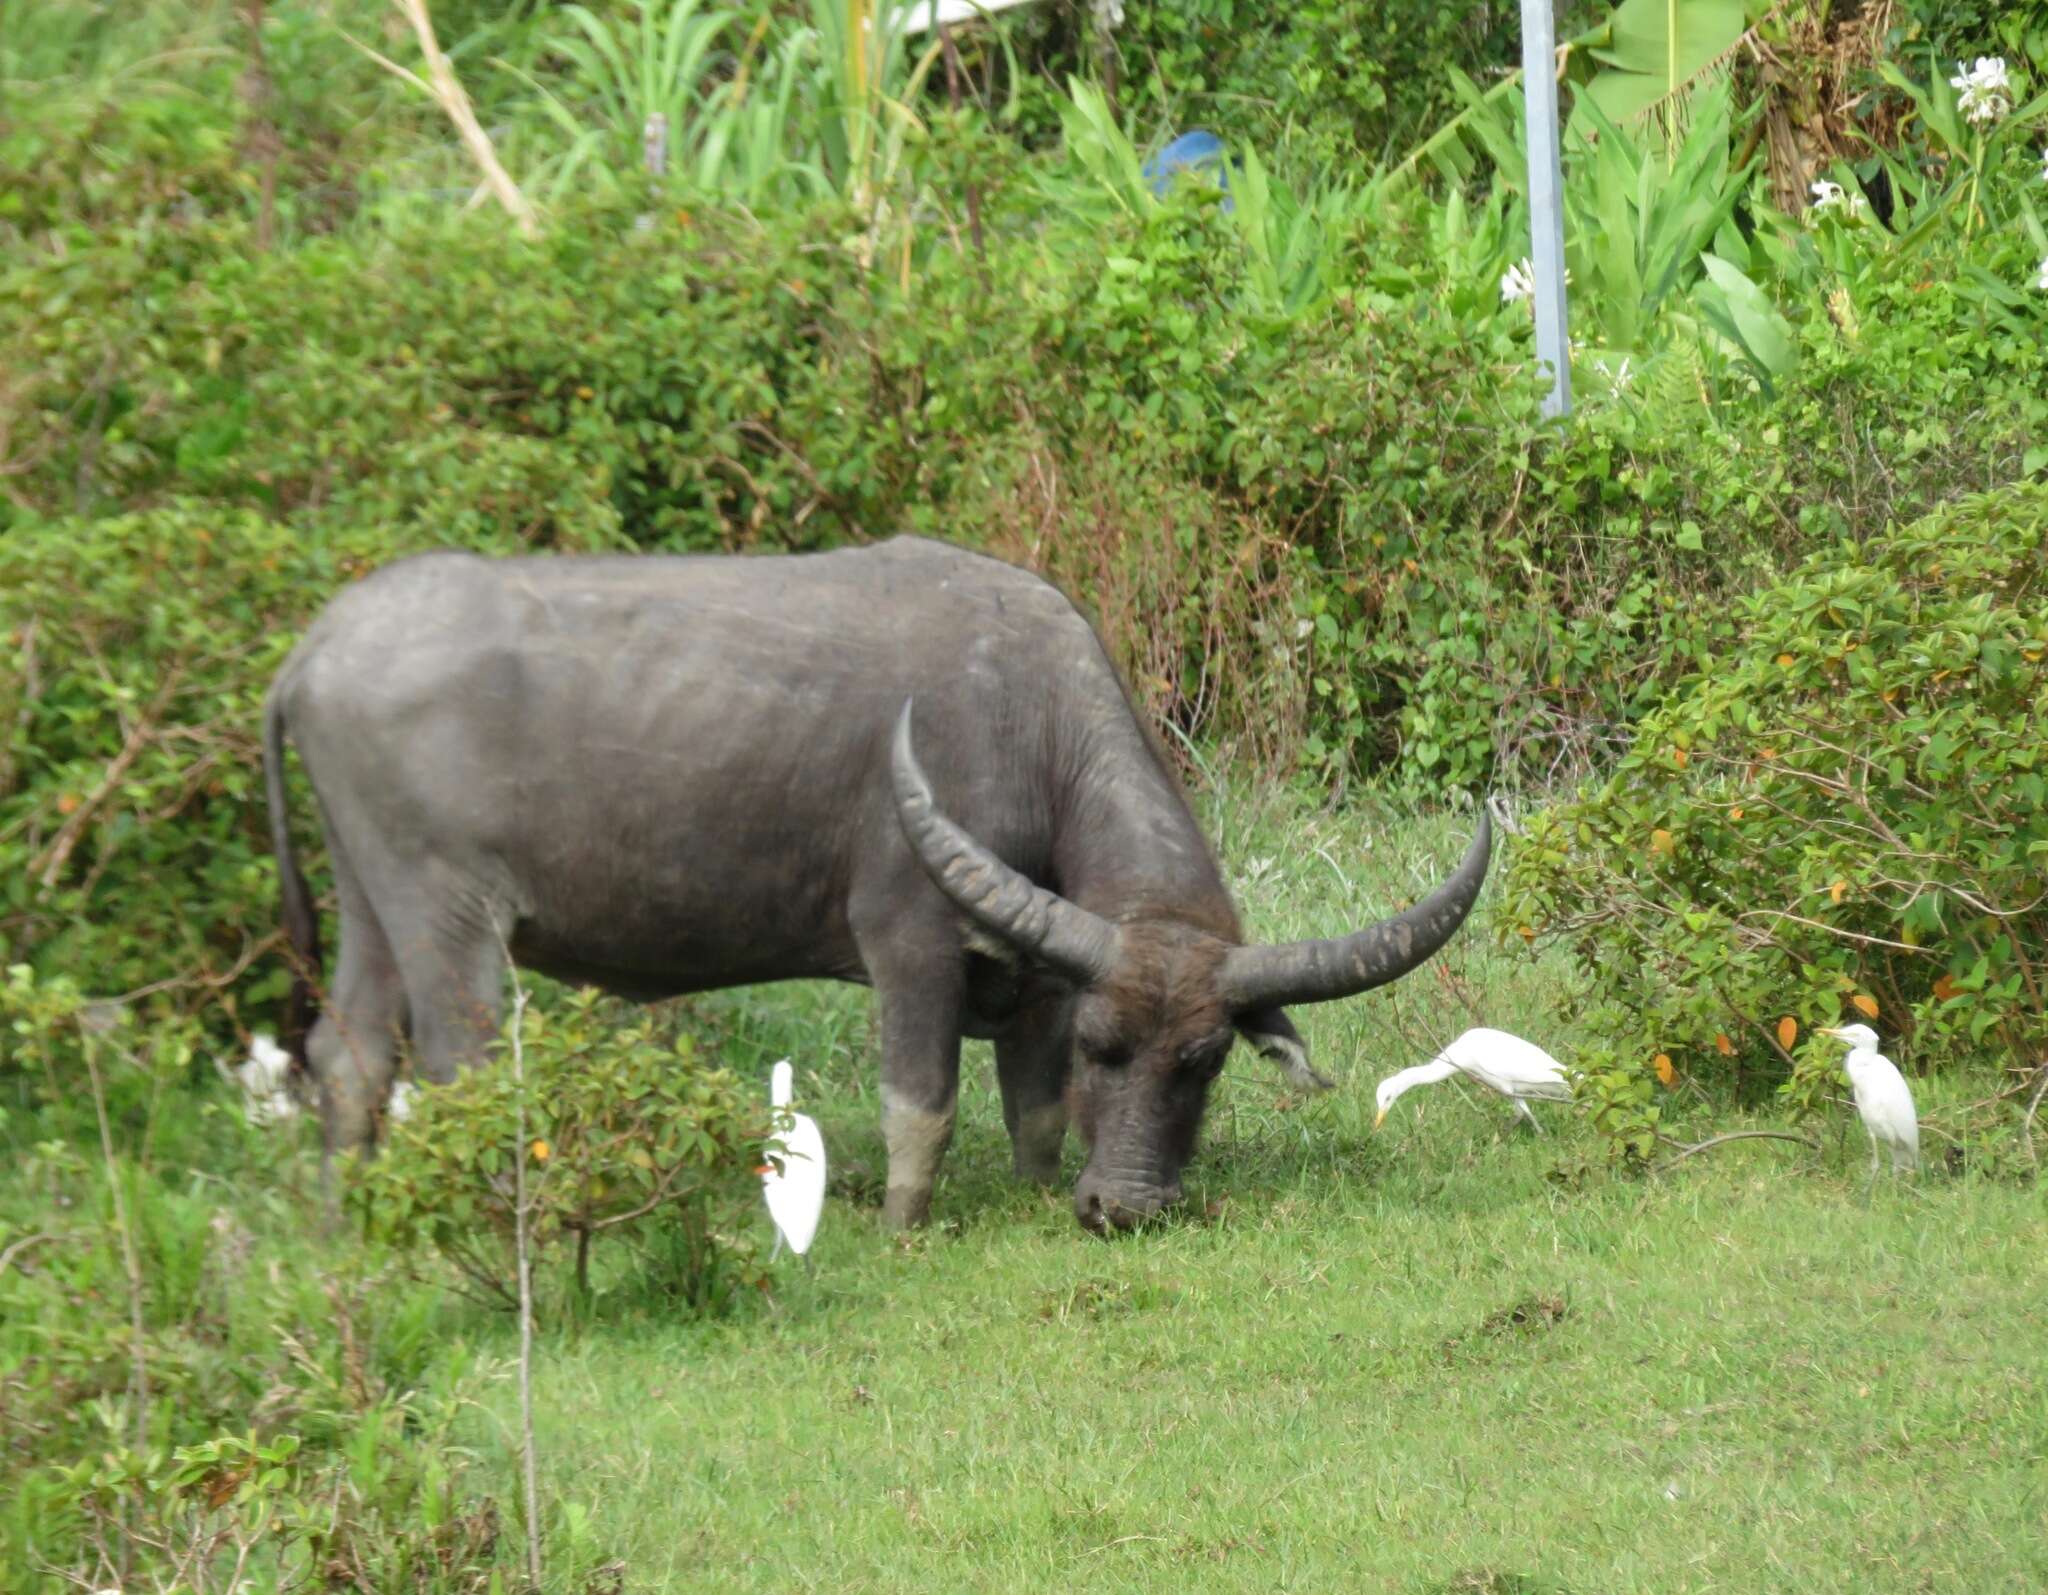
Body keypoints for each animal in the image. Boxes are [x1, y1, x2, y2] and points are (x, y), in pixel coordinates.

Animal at [268, 540, 1490, 1236]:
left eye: (1201, 1060)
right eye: (1107, 1045)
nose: (1125, 1208)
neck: (1026, 723)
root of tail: (317, 644)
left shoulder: (1038, 975)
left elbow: (1030, 1108)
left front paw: (1037, 1192)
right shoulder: (910, 942)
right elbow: (923, 1103)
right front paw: (905, 1225)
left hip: (371, 904)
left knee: (348, 1057)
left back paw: (338, 1229)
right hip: (448, 917)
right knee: (457, 1065)